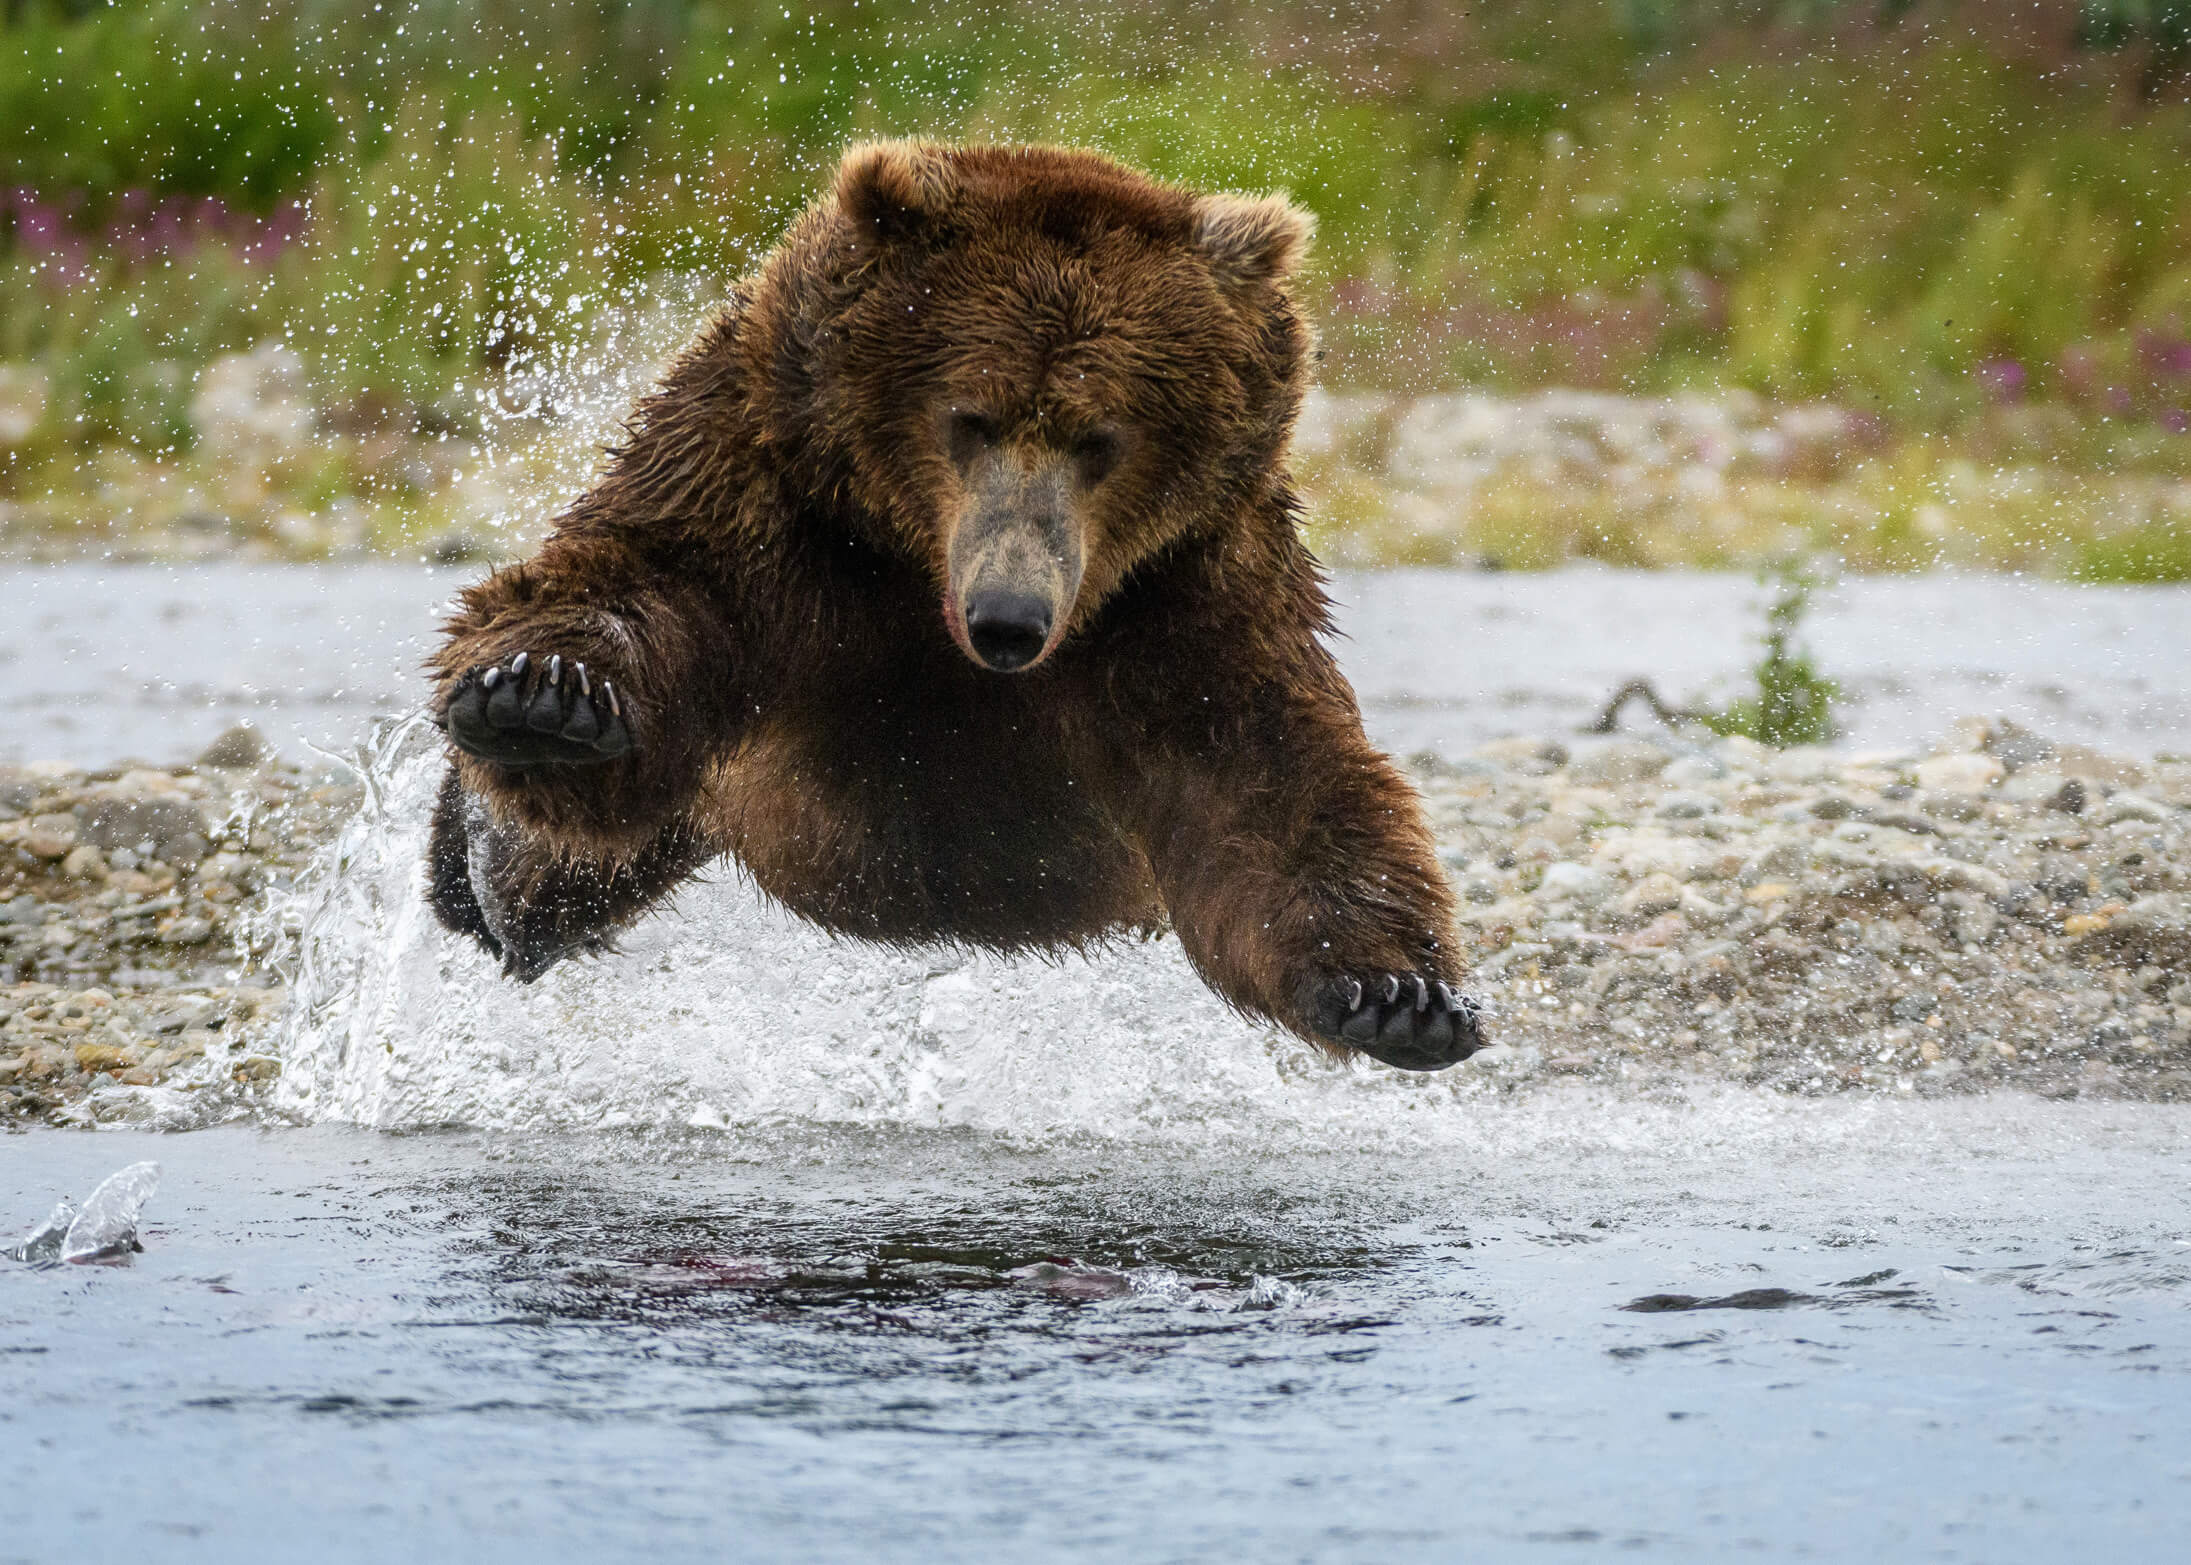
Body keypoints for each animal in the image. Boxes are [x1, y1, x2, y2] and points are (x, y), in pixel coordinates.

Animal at [422, 143, 1489, 1074]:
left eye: (1100, 438)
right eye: (969, 417)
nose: (1008, 618)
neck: (913, 569)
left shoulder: (1186, 589)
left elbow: (1268, 773)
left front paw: (1400, 996)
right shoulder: (770, 496)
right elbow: (649, 584)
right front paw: (542, 696)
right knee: (551, 865)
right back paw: (481, 857)